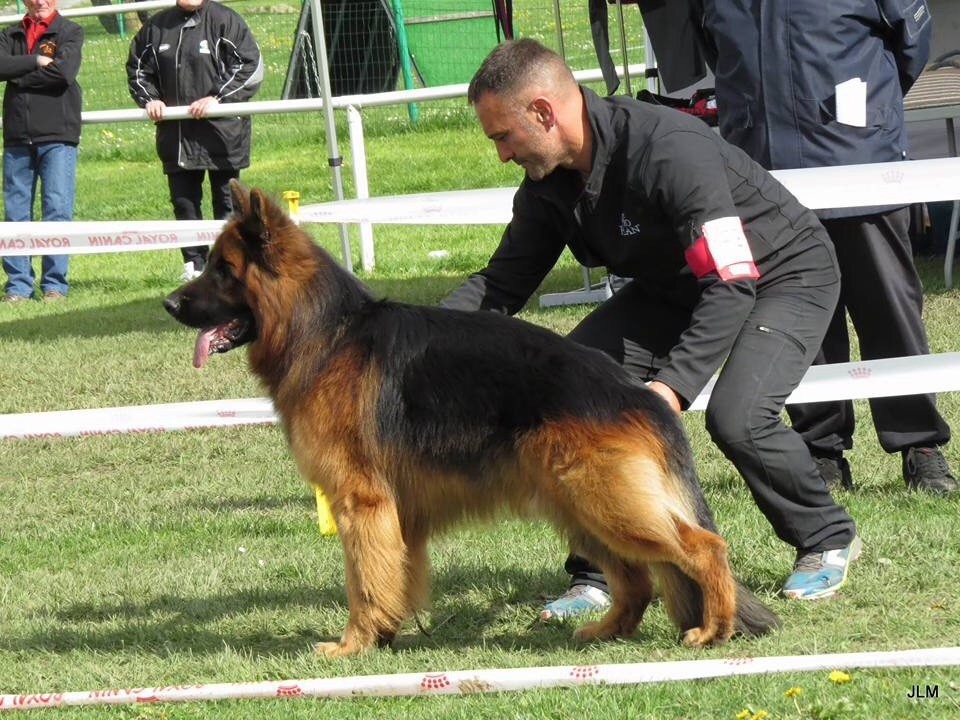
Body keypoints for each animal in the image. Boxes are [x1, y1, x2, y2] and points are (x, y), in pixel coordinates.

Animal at [165, 181, 780, 660]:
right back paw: (606, 632)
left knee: (703, 548)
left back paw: (714, 629)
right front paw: (385, 635)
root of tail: (639, 393)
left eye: (223, 270)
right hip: (579, 506)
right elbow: (392, 575)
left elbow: (363, 582)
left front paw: (353, 644)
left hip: (608, 503)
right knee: (635, 578)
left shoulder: (361, 504)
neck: (323, 332)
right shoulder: (393, 516)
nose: (170, 305)